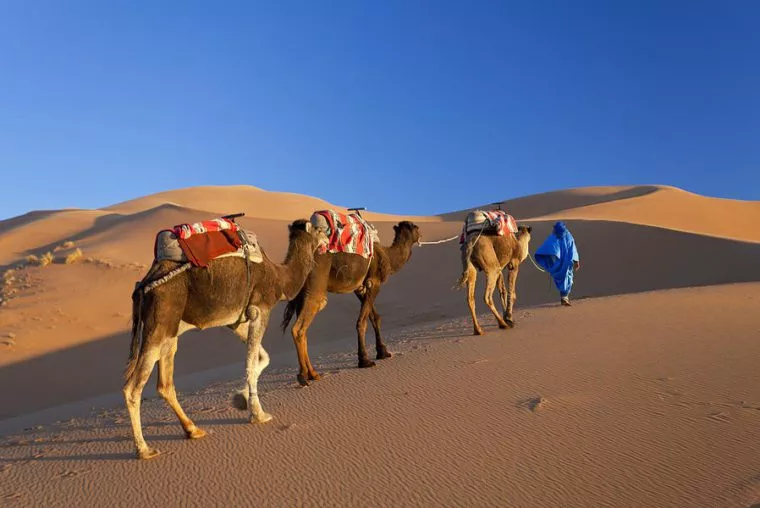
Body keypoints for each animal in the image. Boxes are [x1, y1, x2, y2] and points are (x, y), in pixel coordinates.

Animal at [122, 219, 328, 460]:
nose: (328, 236)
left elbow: (262, 358)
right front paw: (258, 414)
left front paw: (240, 399)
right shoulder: (260, 309)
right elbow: (250, 363)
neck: (279, 277)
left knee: (165, 383)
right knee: (133, 387)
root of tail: (143, 286)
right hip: (159, 322)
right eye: (319, 229)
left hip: (170, 331)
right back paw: (144, 449)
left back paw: (193, 430)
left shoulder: (236, 321)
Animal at [280, 220, 421, 386]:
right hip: (315, 289)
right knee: (299, 328)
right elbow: (362, 322)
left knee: (304, 330)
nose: (420, 235)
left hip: (302, 293)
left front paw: (383, 351)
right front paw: (364, 360)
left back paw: (312, 374)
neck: (387, 256)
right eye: (416, 228)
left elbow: (375, 318)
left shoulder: (360, 288)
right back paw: (303, 375)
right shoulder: (374, 283)